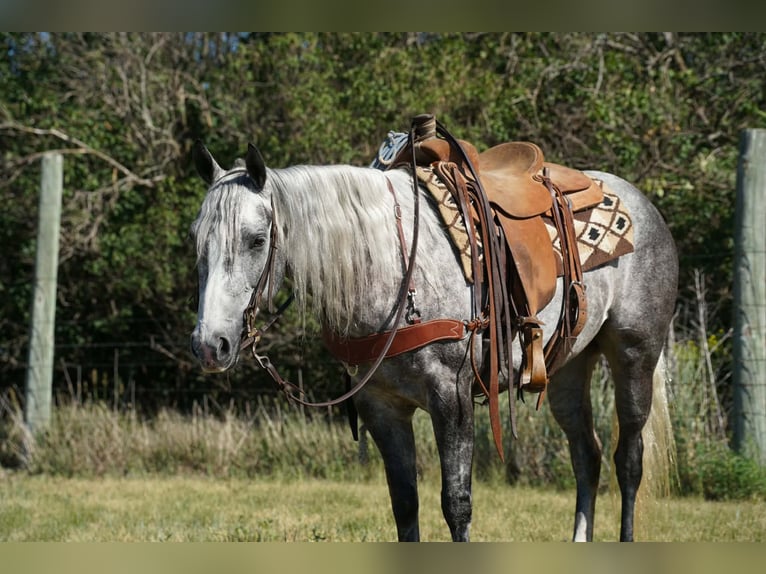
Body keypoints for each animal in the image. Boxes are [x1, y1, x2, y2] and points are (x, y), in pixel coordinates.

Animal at [188, 131, 678, 542]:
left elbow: (456, 505)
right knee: (586, 457)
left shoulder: (452, 396)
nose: (210, 345)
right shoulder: (381, 407)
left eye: (256, 239)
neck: (393, 269)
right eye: (197, 239)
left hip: (635, 355)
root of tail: (642, 204)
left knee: (628, 460)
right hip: (568, 369)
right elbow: (405, 504)